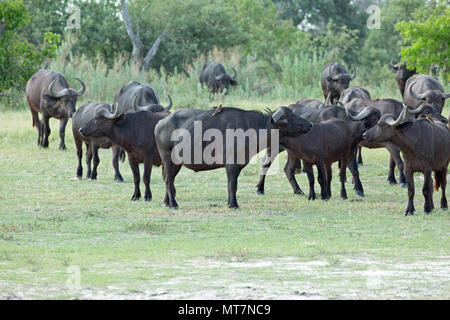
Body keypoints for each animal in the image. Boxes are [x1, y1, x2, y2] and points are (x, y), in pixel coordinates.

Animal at [156, 106, 312, 209]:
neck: (250, 129)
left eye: (293, 114)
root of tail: (160, 123)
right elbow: (232, 184)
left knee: (168, 179)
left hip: (175, 163)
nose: (310, 125)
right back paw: (174, 204)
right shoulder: (231, 165)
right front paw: (233, 204)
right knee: (168, 180)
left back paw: (167, 202)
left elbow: (233, 184)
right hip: (168, 159)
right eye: (289, 118)